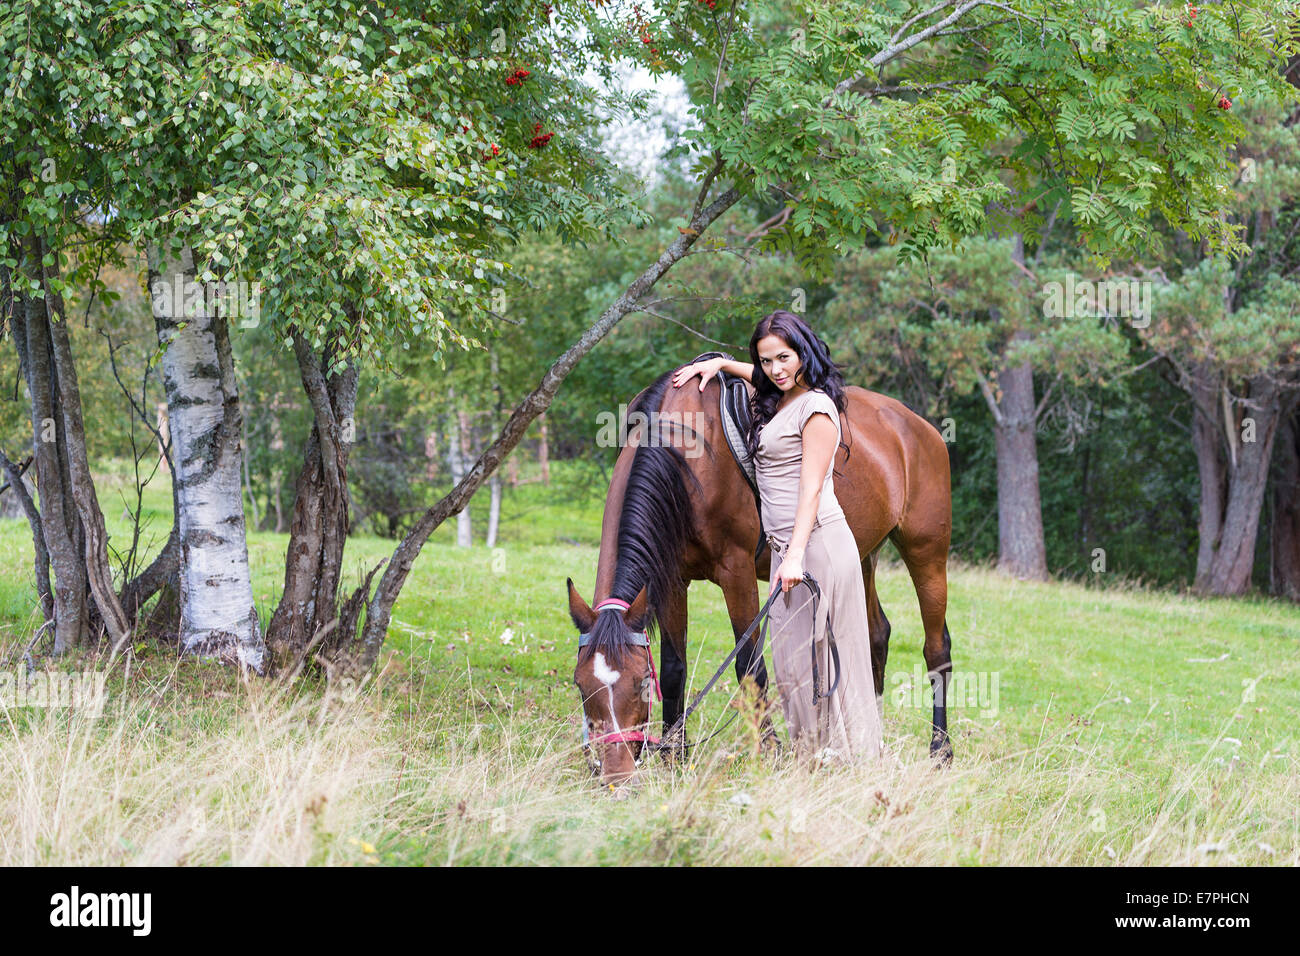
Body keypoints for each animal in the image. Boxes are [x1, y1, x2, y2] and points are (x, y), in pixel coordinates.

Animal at [569, 361, 956, 790]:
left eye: (639, 682)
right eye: (581, 686)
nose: (615, 775)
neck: (686, 460)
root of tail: (917, 426)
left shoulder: (735, 571)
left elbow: (750, 667)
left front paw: (769, 752)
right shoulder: (673, 580)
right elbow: (673, 669)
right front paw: (673, 755)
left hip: (926, 553)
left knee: (937, 649)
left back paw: (941, 749)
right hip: (863, 556)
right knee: (875, 637)